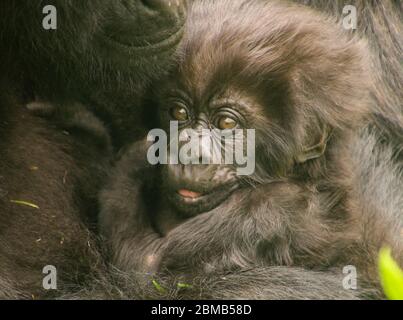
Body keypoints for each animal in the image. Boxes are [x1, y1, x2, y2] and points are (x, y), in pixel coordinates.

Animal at [100, 0, 403, 300]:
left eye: (226, 123)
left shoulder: (266, 210)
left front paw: (139, 157)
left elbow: (147, 264)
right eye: (179, 113)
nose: (186, 154)